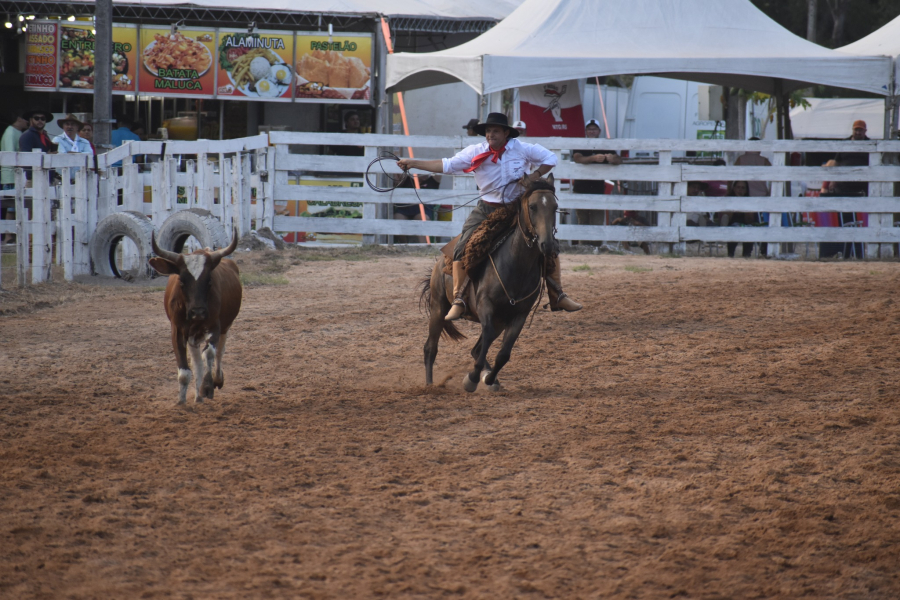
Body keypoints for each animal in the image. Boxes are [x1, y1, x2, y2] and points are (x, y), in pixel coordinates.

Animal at [420, 173, 560, 392]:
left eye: (555, 207)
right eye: (532, 206)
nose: (547, 245)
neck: (516, 266)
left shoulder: (518, 315)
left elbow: (503, 354)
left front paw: (488, 378)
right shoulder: (485, 305)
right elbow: (486, 337)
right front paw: (472, 379)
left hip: (499, 320)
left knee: (476, 349)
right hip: (438, 306)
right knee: (431, 348)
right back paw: (429, 385)